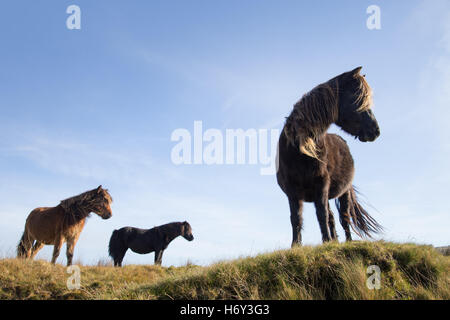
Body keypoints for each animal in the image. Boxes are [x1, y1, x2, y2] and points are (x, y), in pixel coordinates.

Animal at [278, 65, 384, 245]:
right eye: (358, 98)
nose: (375, 131)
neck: (299, 152)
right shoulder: (293, 191)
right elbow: (296, 218)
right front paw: (296, 245)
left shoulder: (321, 185)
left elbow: (322, 215)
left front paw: (326, 240)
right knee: (333, 217)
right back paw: (334, 241)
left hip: (343, 192)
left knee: (344, 217)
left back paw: (346, 241)